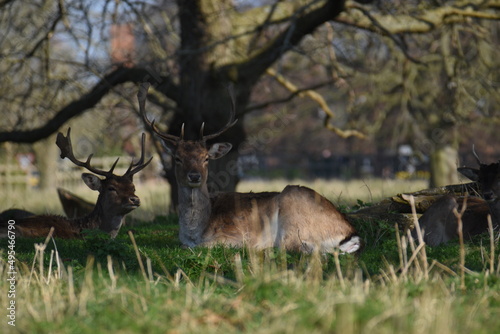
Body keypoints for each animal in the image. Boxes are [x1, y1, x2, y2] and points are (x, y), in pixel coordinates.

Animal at [139, 83, 362, 253]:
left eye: (205, 158)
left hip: (293, 222)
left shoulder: (233, 236)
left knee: (296, 248)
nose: (194, 177)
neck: (196, 230)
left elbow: (202, 246)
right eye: (177, 158)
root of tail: (349, 232)